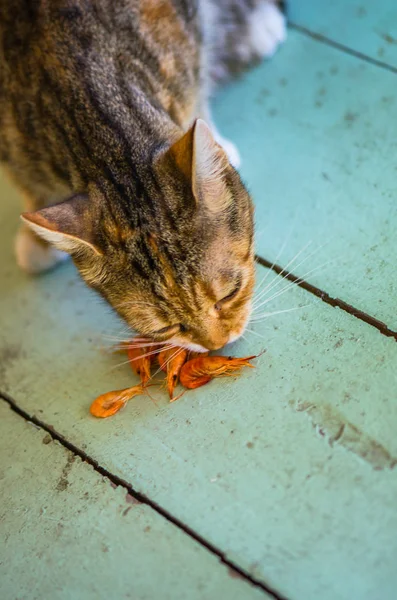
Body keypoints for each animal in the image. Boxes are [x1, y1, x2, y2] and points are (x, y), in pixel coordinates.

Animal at [0, 0, 284, 352]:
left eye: (230, 293)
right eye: (167, 327)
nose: (217, 345)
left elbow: (197, 92)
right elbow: (27, 180)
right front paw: (36, 237)